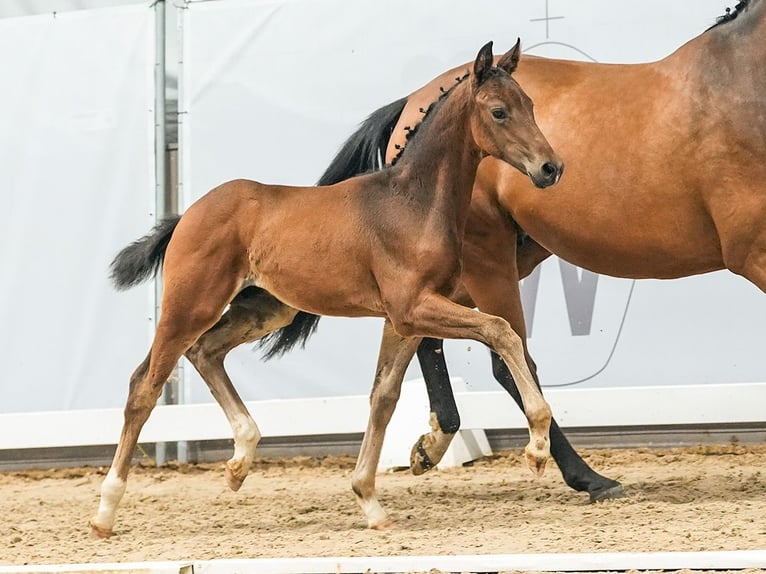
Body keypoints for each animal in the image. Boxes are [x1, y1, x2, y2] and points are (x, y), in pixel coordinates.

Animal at [94, 41, 564, 540]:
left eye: (530, 104)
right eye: (498, 111)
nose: (551, 168)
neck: (413, 204)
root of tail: (188, 214)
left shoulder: (404, 320)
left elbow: (384, 397)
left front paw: (370, 501)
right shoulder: (412, 307)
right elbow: (501, 330)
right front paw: (536, 448)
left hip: (263, 309)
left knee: (205, 351)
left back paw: (240, 461)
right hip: (189, 305)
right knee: (144, 385)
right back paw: (105, 511)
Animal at [262, 1, 760, 504]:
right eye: (500, 111)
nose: (551, 168)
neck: (739, 83)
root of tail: (409, 105)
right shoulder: (752, 253)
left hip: (483, 265)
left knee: (425, 333)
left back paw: (433, 443)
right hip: (488, 260)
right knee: (505, 356)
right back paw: (585, 476)